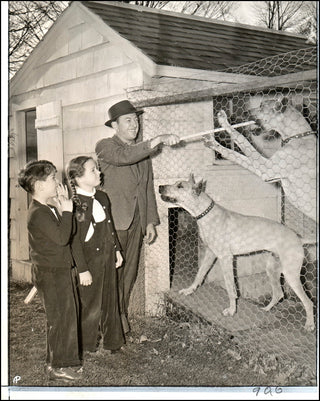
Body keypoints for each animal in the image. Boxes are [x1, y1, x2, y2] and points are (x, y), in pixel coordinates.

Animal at [159, 175, 314, 332]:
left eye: (180, 186)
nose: (159, 187)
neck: (205, 214)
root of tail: (299, 238)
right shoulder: (210, 254)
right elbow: (200, 274)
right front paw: (189, 290)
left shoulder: (225, 258)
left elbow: (230, 287)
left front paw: (232, 310)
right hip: (272, 270)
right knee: (279, 293)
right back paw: (265, 309)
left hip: (291, 275)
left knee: (308, 302)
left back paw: (309, 324)